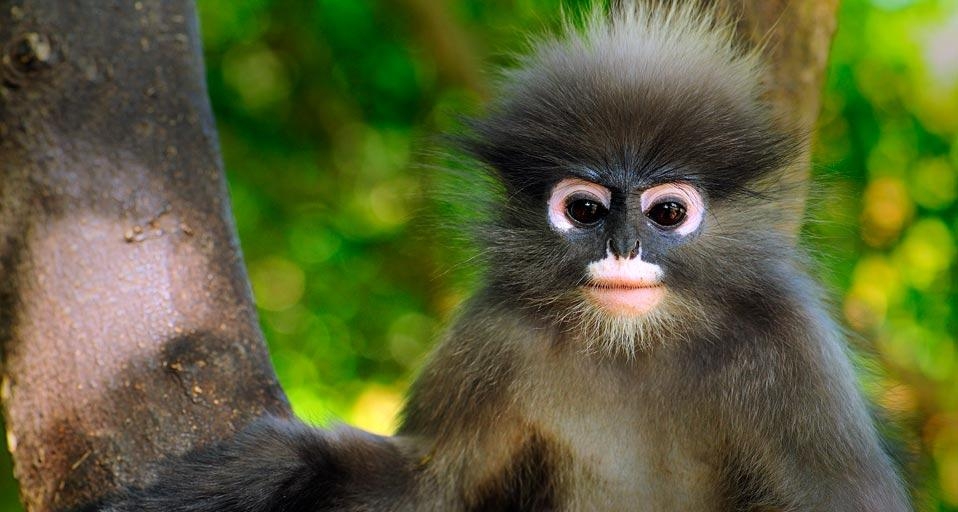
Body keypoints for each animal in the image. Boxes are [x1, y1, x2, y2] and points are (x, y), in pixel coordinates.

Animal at [100, 2, 911, 511]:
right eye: (584, 210)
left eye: (668, 213)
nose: (622, 247)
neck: (634, 347)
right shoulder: (492, 336)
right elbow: (427, 487)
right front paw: (274, 467)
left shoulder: (793, 349)